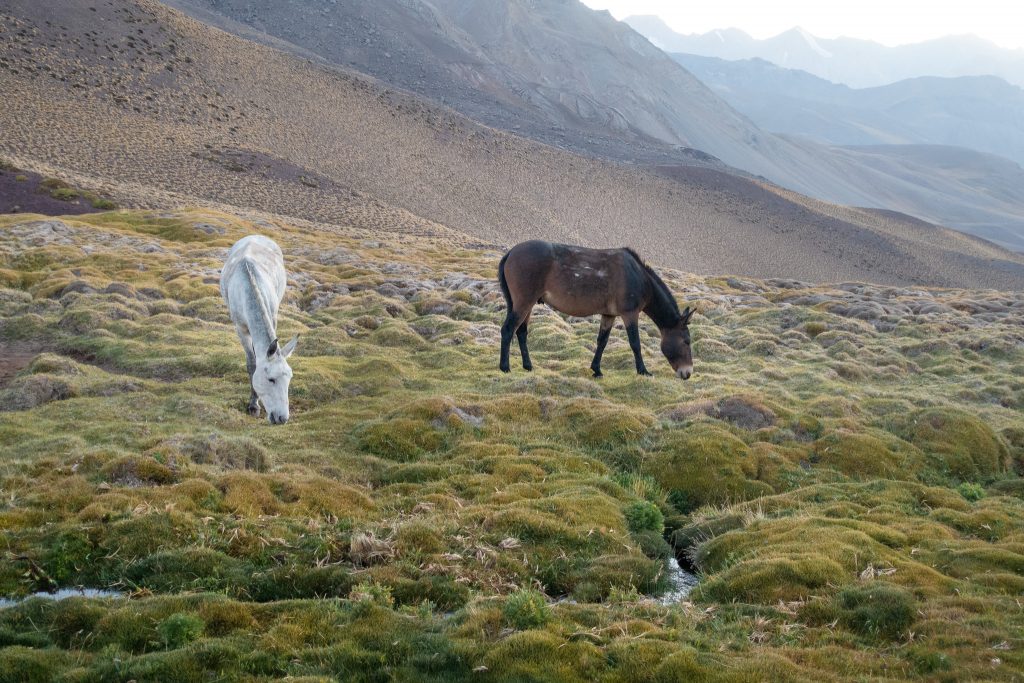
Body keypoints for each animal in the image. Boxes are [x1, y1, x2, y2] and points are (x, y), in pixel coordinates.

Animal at [221, 236, 299, 428]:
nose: (282, 418)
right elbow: (252, 363)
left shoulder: (273, 317)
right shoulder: (241, 329)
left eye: (290, 378)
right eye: (271, 379)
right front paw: (253, 405)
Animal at [497, 240, 696, 378]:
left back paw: (528, 366)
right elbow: (635, 343)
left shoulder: (608, 314)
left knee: (521, 332)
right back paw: (505, 367)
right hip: (524, 301)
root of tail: (511, 253)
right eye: (686, 341)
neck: (639, 277)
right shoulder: (629, 314)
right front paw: (643, 371)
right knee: (508, 329)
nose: (687, 373)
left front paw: (597, 370)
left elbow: (602, 341)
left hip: (527, 303)